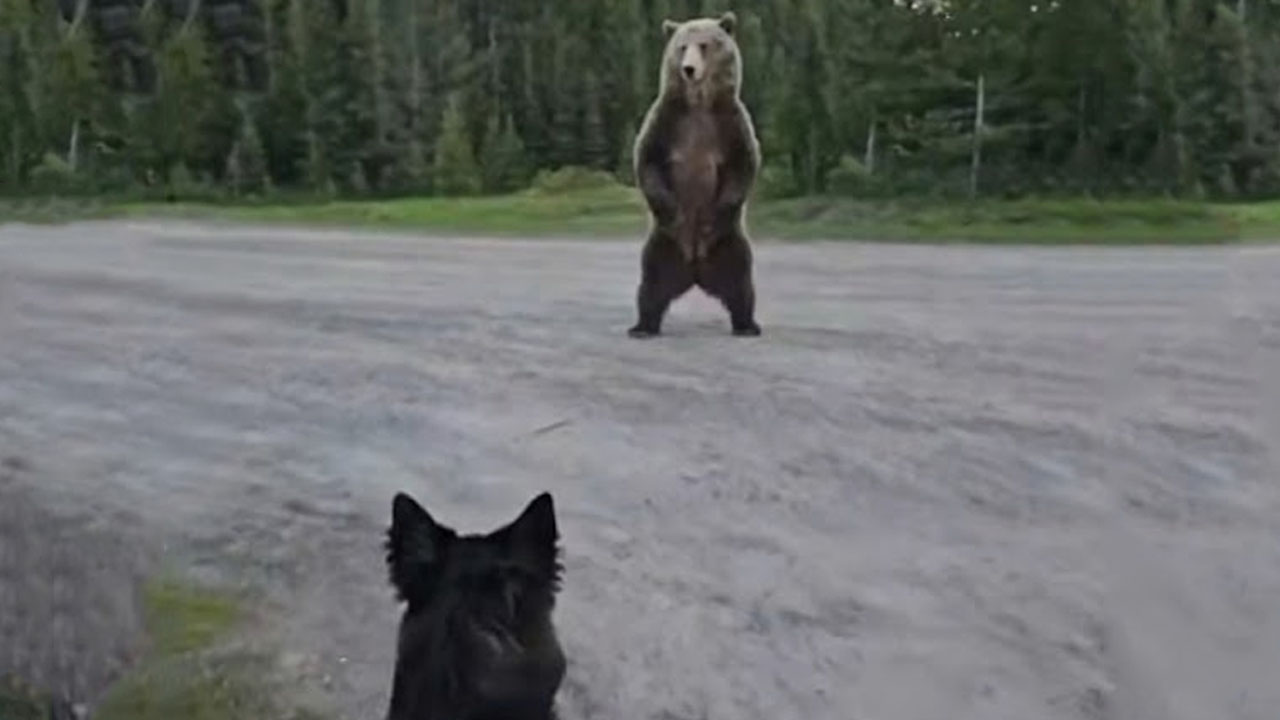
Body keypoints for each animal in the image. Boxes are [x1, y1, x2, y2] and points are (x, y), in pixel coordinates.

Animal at [628, 11, 762, 338]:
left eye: (704, 45)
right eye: (681, 47)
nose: (688, 70)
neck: (699, 105)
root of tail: (694, 268)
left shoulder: (730, 124)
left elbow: (743, 166)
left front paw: (709, 220)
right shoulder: (668, 122)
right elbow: (647, 161)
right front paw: (674, 211)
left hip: (730, 243)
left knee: (741, 283)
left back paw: (747, 325)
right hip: (662, 244)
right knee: (651, 284)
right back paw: (643, 326)